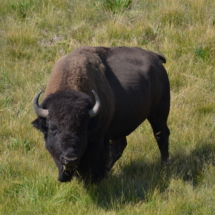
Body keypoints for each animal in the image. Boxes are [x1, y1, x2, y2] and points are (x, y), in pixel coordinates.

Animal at [31, 46, 170, 184]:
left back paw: (164, 167)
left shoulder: (100, 138)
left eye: (84, 129)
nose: (70, 159)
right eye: (53, 128)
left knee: (161, 136)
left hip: (158, 113)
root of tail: (155, 57)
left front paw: (93, 179)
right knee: (119, 146)